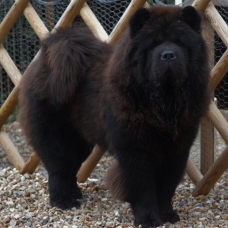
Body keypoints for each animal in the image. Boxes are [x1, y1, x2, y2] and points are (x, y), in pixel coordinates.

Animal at [18, 5, 211, 228]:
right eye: (153, 45)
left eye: (180, 43)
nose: (168, 54)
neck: (163, 101)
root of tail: (47, 59)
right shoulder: (134, 151)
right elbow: (143, 189)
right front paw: (147, 219)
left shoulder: (177, 150)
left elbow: (166, 187)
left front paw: (167, 215)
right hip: (57, 137)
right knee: (58, 169)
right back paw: (63, 202)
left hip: (81, 141)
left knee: (70, 169)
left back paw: (75, 194)